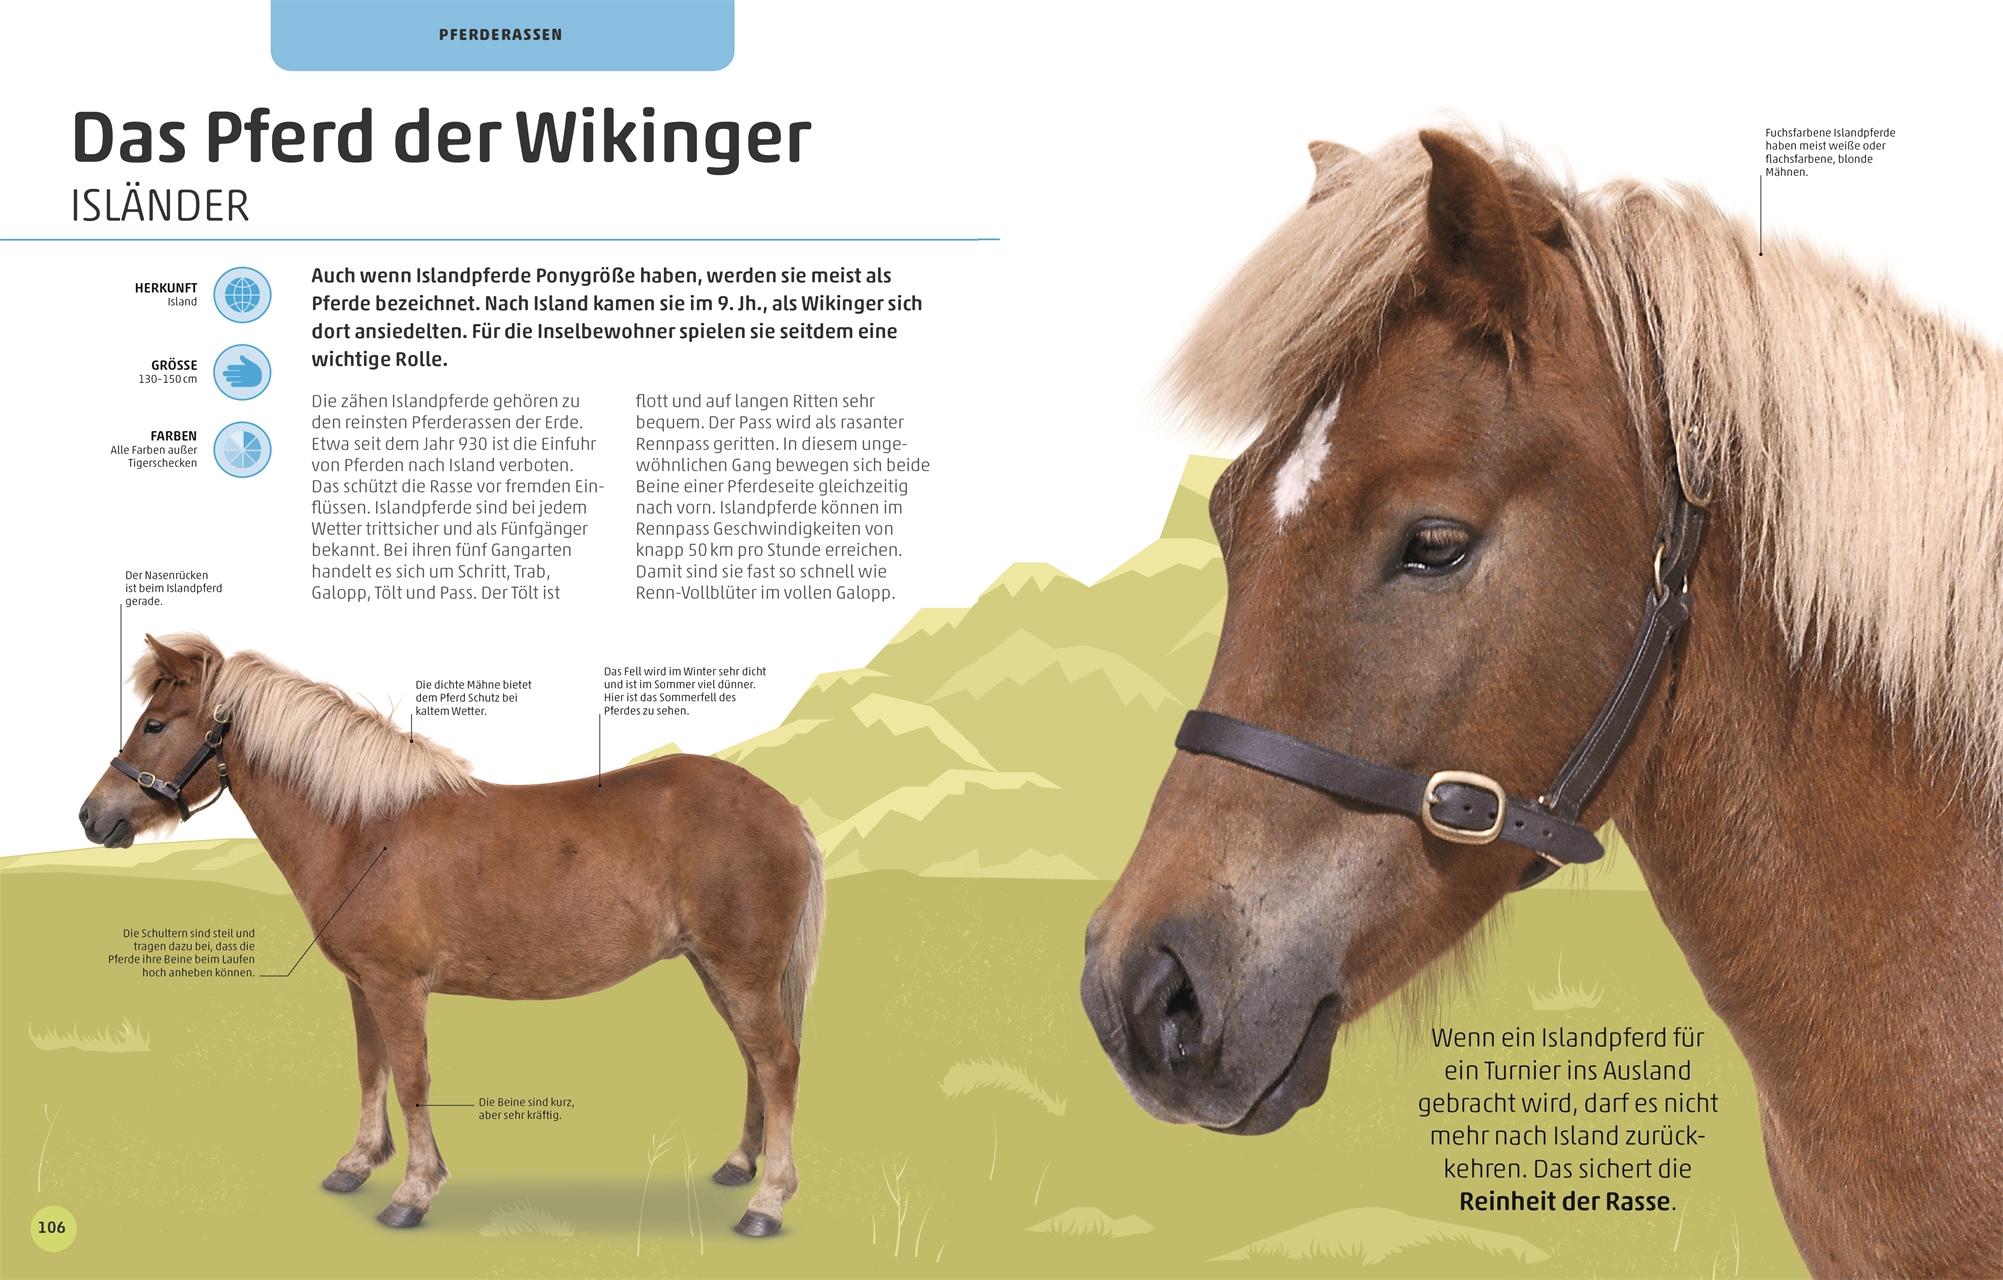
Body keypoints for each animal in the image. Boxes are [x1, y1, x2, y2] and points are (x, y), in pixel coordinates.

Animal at [76, 634, 824, 1237]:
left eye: (155, 723)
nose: (91, 816)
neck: (360, 829)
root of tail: (783, 807)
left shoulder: (397, 985)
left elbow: (411, 1077)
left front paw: (412, 1192)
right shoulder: (362, 984)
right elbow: (370, 1067)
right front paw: (356, 1164)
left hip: (742, 970)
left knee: (778, 1062)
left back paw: (766, 1204)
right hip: (718, 969)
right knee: (753, 1060)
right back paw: (739, 1166)